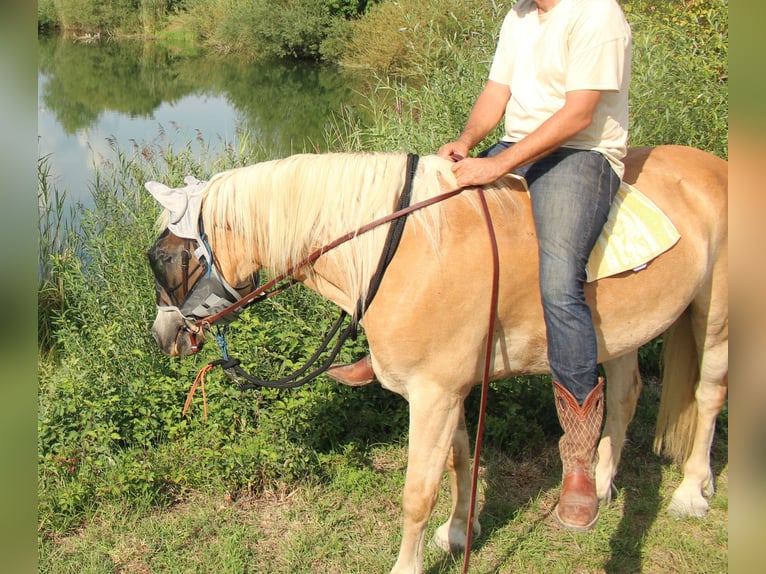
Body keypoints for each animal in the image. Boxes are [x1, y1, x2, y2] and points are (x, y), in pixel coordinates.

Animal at [147, 146, 728, 572]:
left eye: (168, 257)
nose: (164, 336)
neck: (403, 251)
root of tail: (713, 166)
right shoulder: (452, 388)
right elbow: (459, 459)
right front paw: (459, 532)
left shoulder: (435, 393)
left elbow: (418, 491)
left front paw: (411, 564)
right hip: (620, 333)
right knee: (624, 395)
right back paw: (601, 486)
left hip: (713, 316)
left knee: (709, 395)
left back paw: (691, 492)